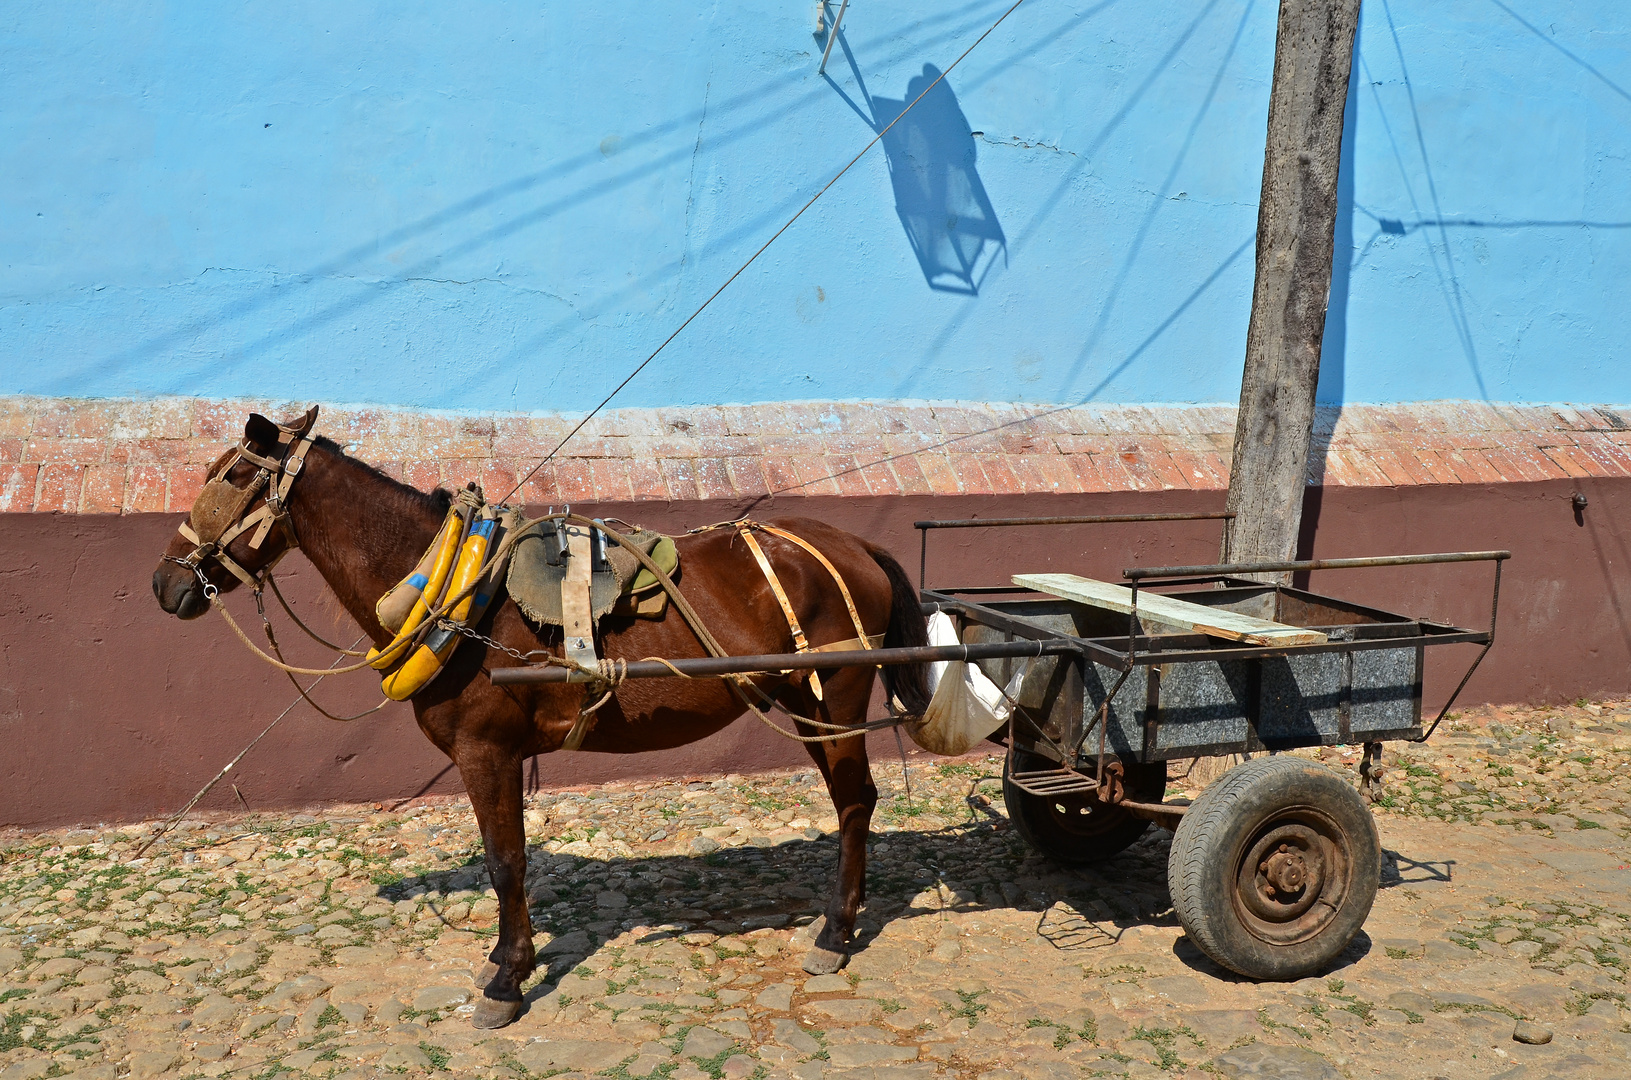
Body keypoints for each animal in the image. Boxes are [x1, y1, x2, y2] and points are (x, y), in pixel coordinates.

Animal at [153, 407, 932, 1031]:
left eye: (230, 476)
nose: (164, 584)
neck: (458, 592)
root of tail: (853, 545)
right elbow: (507, 859)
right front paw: (506, 959)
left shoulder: (485, 750)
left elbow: (506, 862)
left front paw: (507, 979)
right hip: (802, 700)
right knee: (853, 800)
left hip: (836, 694)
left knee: (855, 801)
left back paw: (836, 932)